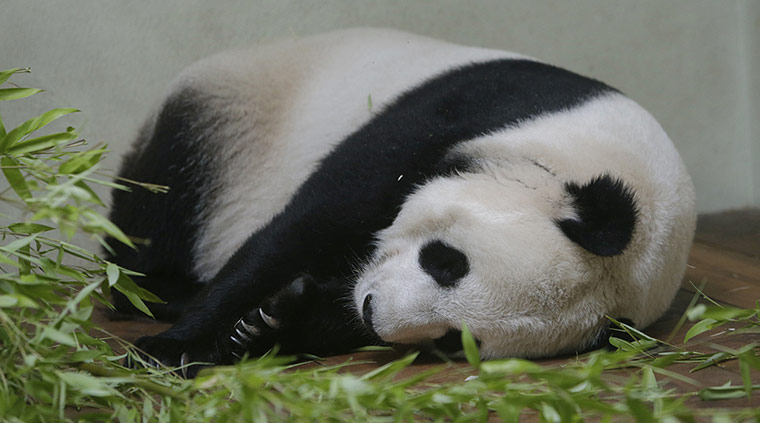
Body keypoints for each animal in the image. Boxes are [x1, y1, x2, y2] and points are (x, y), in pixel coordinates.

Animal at [108, 28, 696, 377]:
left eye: (457, 340)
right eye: (447, 262)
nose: (373, 309)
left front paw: (272, 322)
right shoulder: (467, 115)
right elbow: (304, 227)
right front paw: (174, 348)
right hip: (224, 124)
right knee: (161, 203)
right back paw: (163, 290)